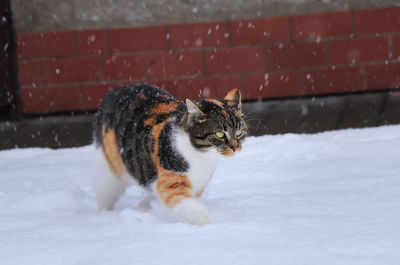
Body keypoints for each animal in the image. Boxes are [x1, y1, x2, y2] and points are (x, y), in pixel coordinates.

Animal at [92, 83, 247, 224]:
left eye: (239, 132)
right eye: (220, 134)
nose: (235, 147)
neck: (202, 158)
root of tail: (113, 92)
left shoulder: (199, 185)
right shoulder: (172, 185)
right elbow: (194, 211)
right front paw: (213, 227)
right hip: (109, 174)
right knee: (104, 197)